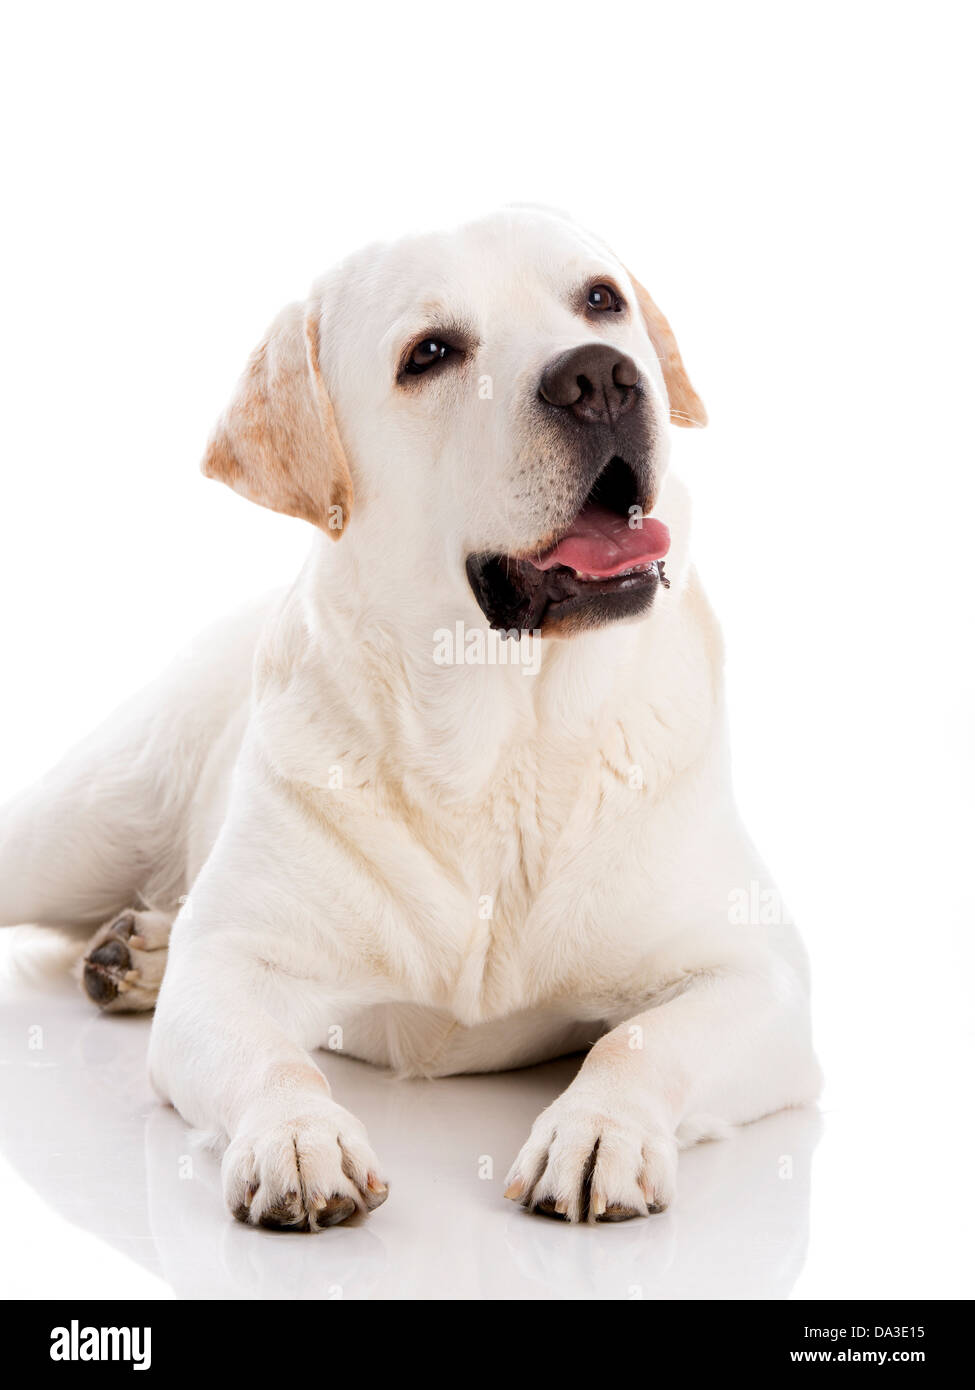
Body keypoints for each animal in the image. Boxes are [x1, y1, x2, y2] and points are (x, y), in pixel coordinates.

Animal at [0, 205, 823, 1228]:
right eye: (429, 353)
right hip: (74, 827)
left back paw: (138, 951)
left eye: (601, 299)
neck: (503, 742)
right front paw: (297, 1138)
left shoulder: (757, 979)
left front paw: (599, 1130)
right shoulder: (228, 977)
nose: (598, 376)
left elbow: (635, 1042)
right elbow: (272, 1058)